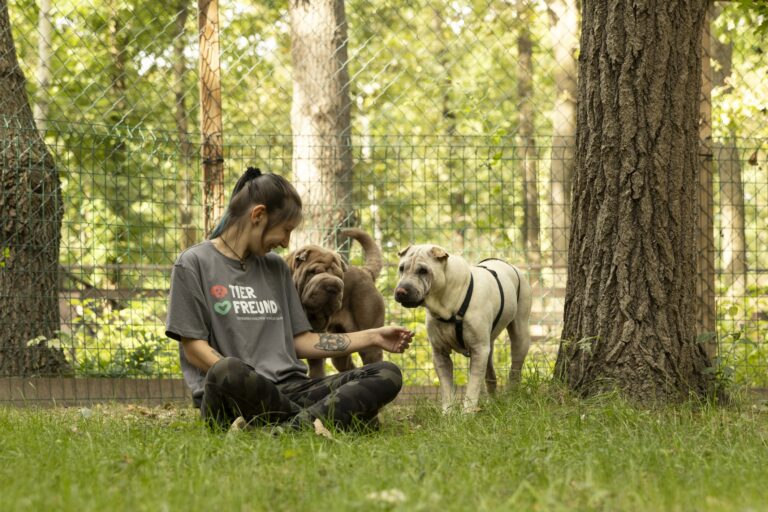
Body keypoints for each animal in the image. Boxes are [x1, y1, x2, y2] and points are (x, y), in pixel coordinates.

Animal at [284, 228, 384, 376]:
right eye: (312, 272)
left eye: (339, 276)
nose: (333, 286)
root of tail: (365, 271)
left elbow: (316, 368)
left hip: (370, 343)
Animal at [396, 245, 528, 412]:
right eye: (401, 268)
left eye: (423, 271)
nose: (401, 291)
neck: (446, 304)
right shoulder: (440, 354)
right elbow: (446, 388)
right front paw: (448, 413)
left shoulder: (478, 350)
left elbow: (473, 386)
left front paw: (467, 413)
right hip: (488, 347)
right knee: (490, 375)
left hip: (520, 336)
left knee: (515, 369)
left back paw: (511, 395)